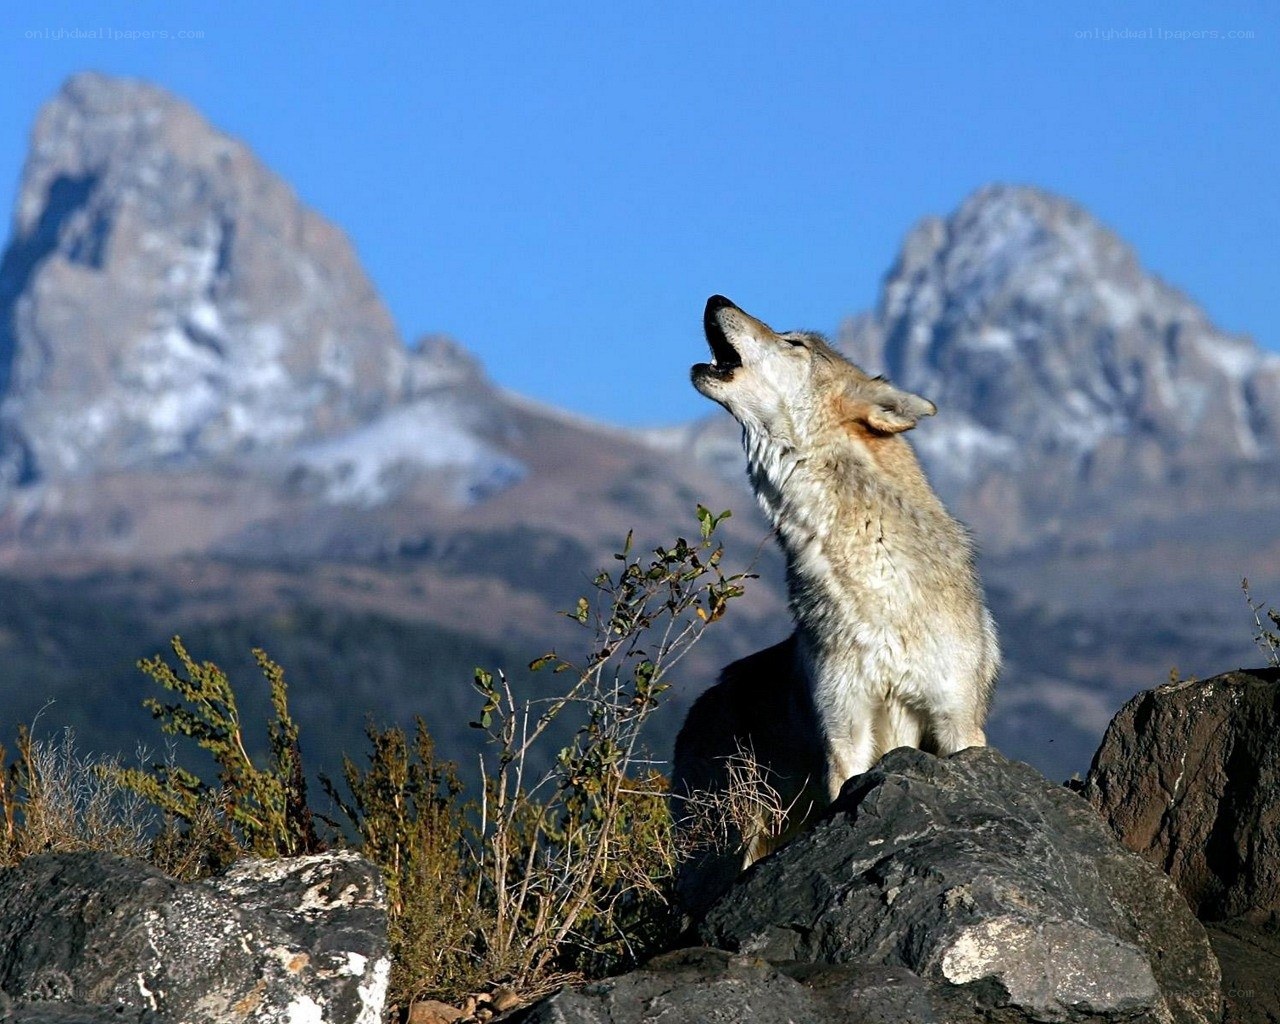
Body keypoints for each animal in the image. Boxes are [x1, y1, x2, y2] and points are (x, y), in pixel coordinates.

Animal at [671, 295, 999, 913]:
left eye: (794, 343)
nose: (715, 299)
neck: (876, 586)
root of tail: (699, 705)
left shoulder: (956, 723)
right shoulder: (844, 733)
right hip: (722, 844)